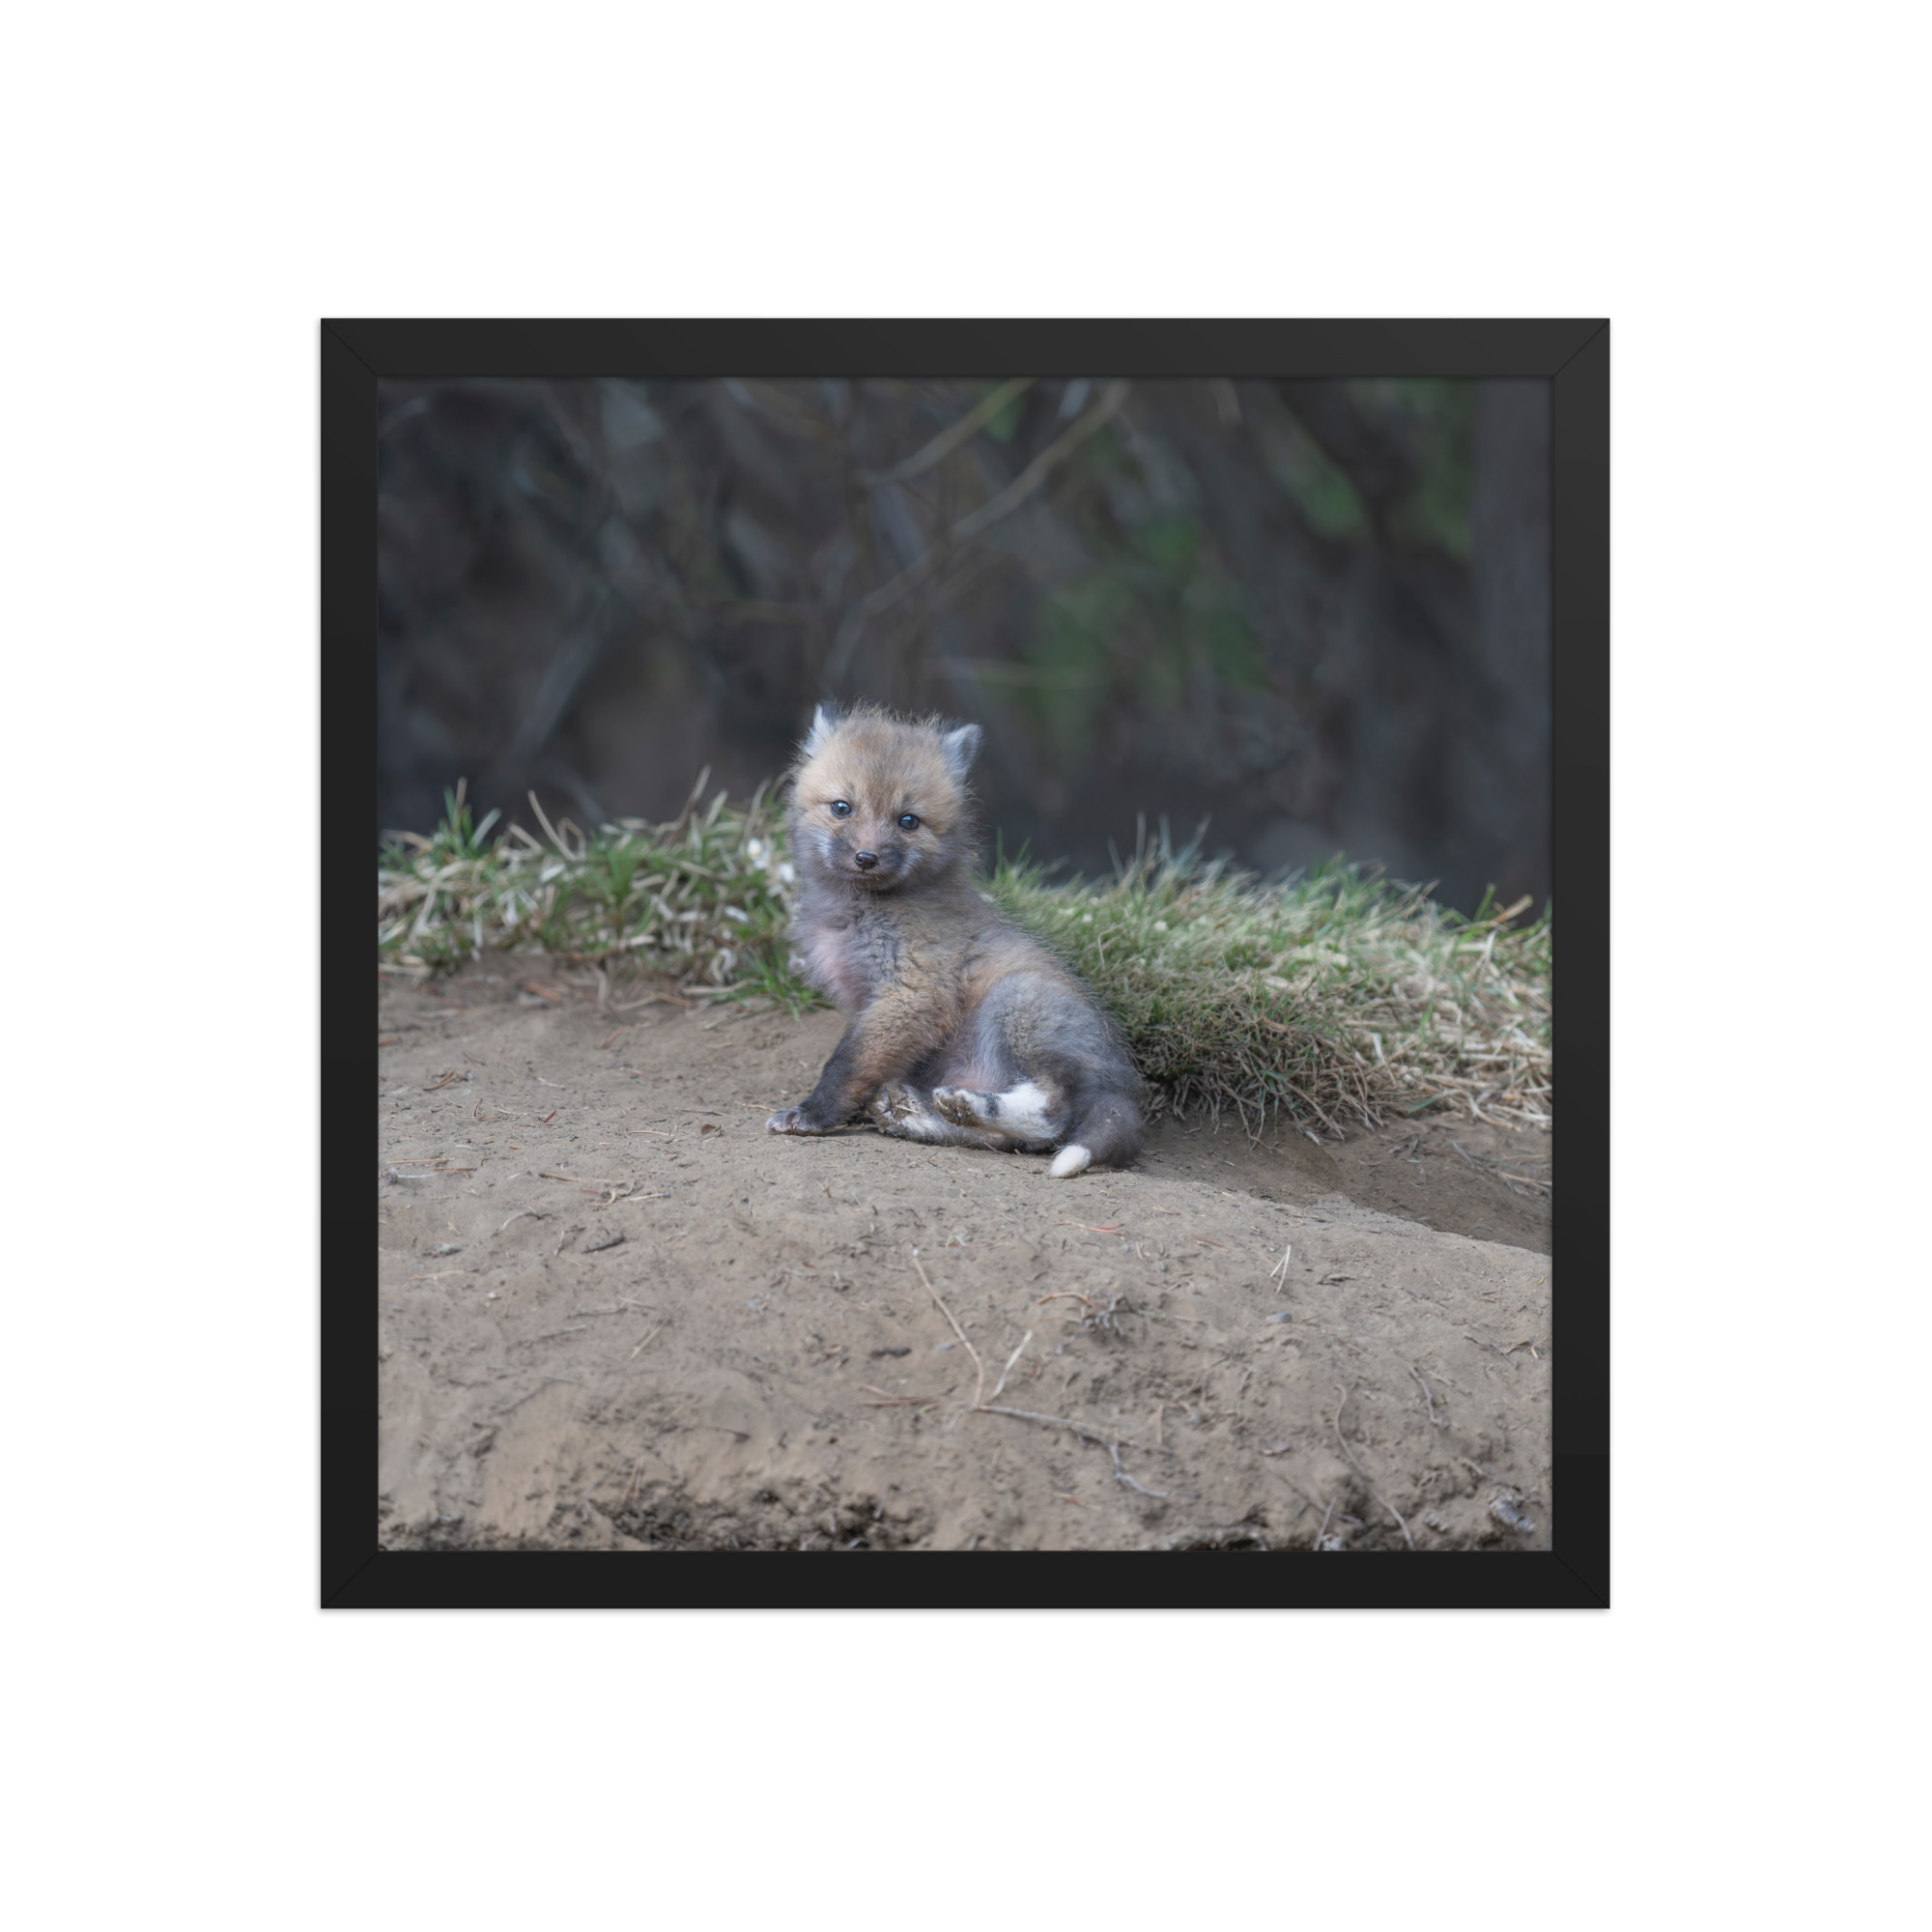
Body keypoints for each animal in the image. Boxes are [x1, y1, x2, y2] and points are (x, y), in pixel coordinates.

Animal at [764, 702, 1143, 1178]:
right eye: (841, 808)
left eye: (908, 821)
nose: (866, 858)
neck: (860, 912)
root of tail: (1123, 1085)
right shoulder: (872, 1003)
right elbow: (861, 1064)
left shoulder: (913, 993)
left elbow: (846, 1064)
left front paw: (813, 1114)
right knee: (1010, 1140)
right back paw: (919, 1114)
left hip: (1016, 1002)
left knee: (1052, 1115)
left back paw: (966, 1104)